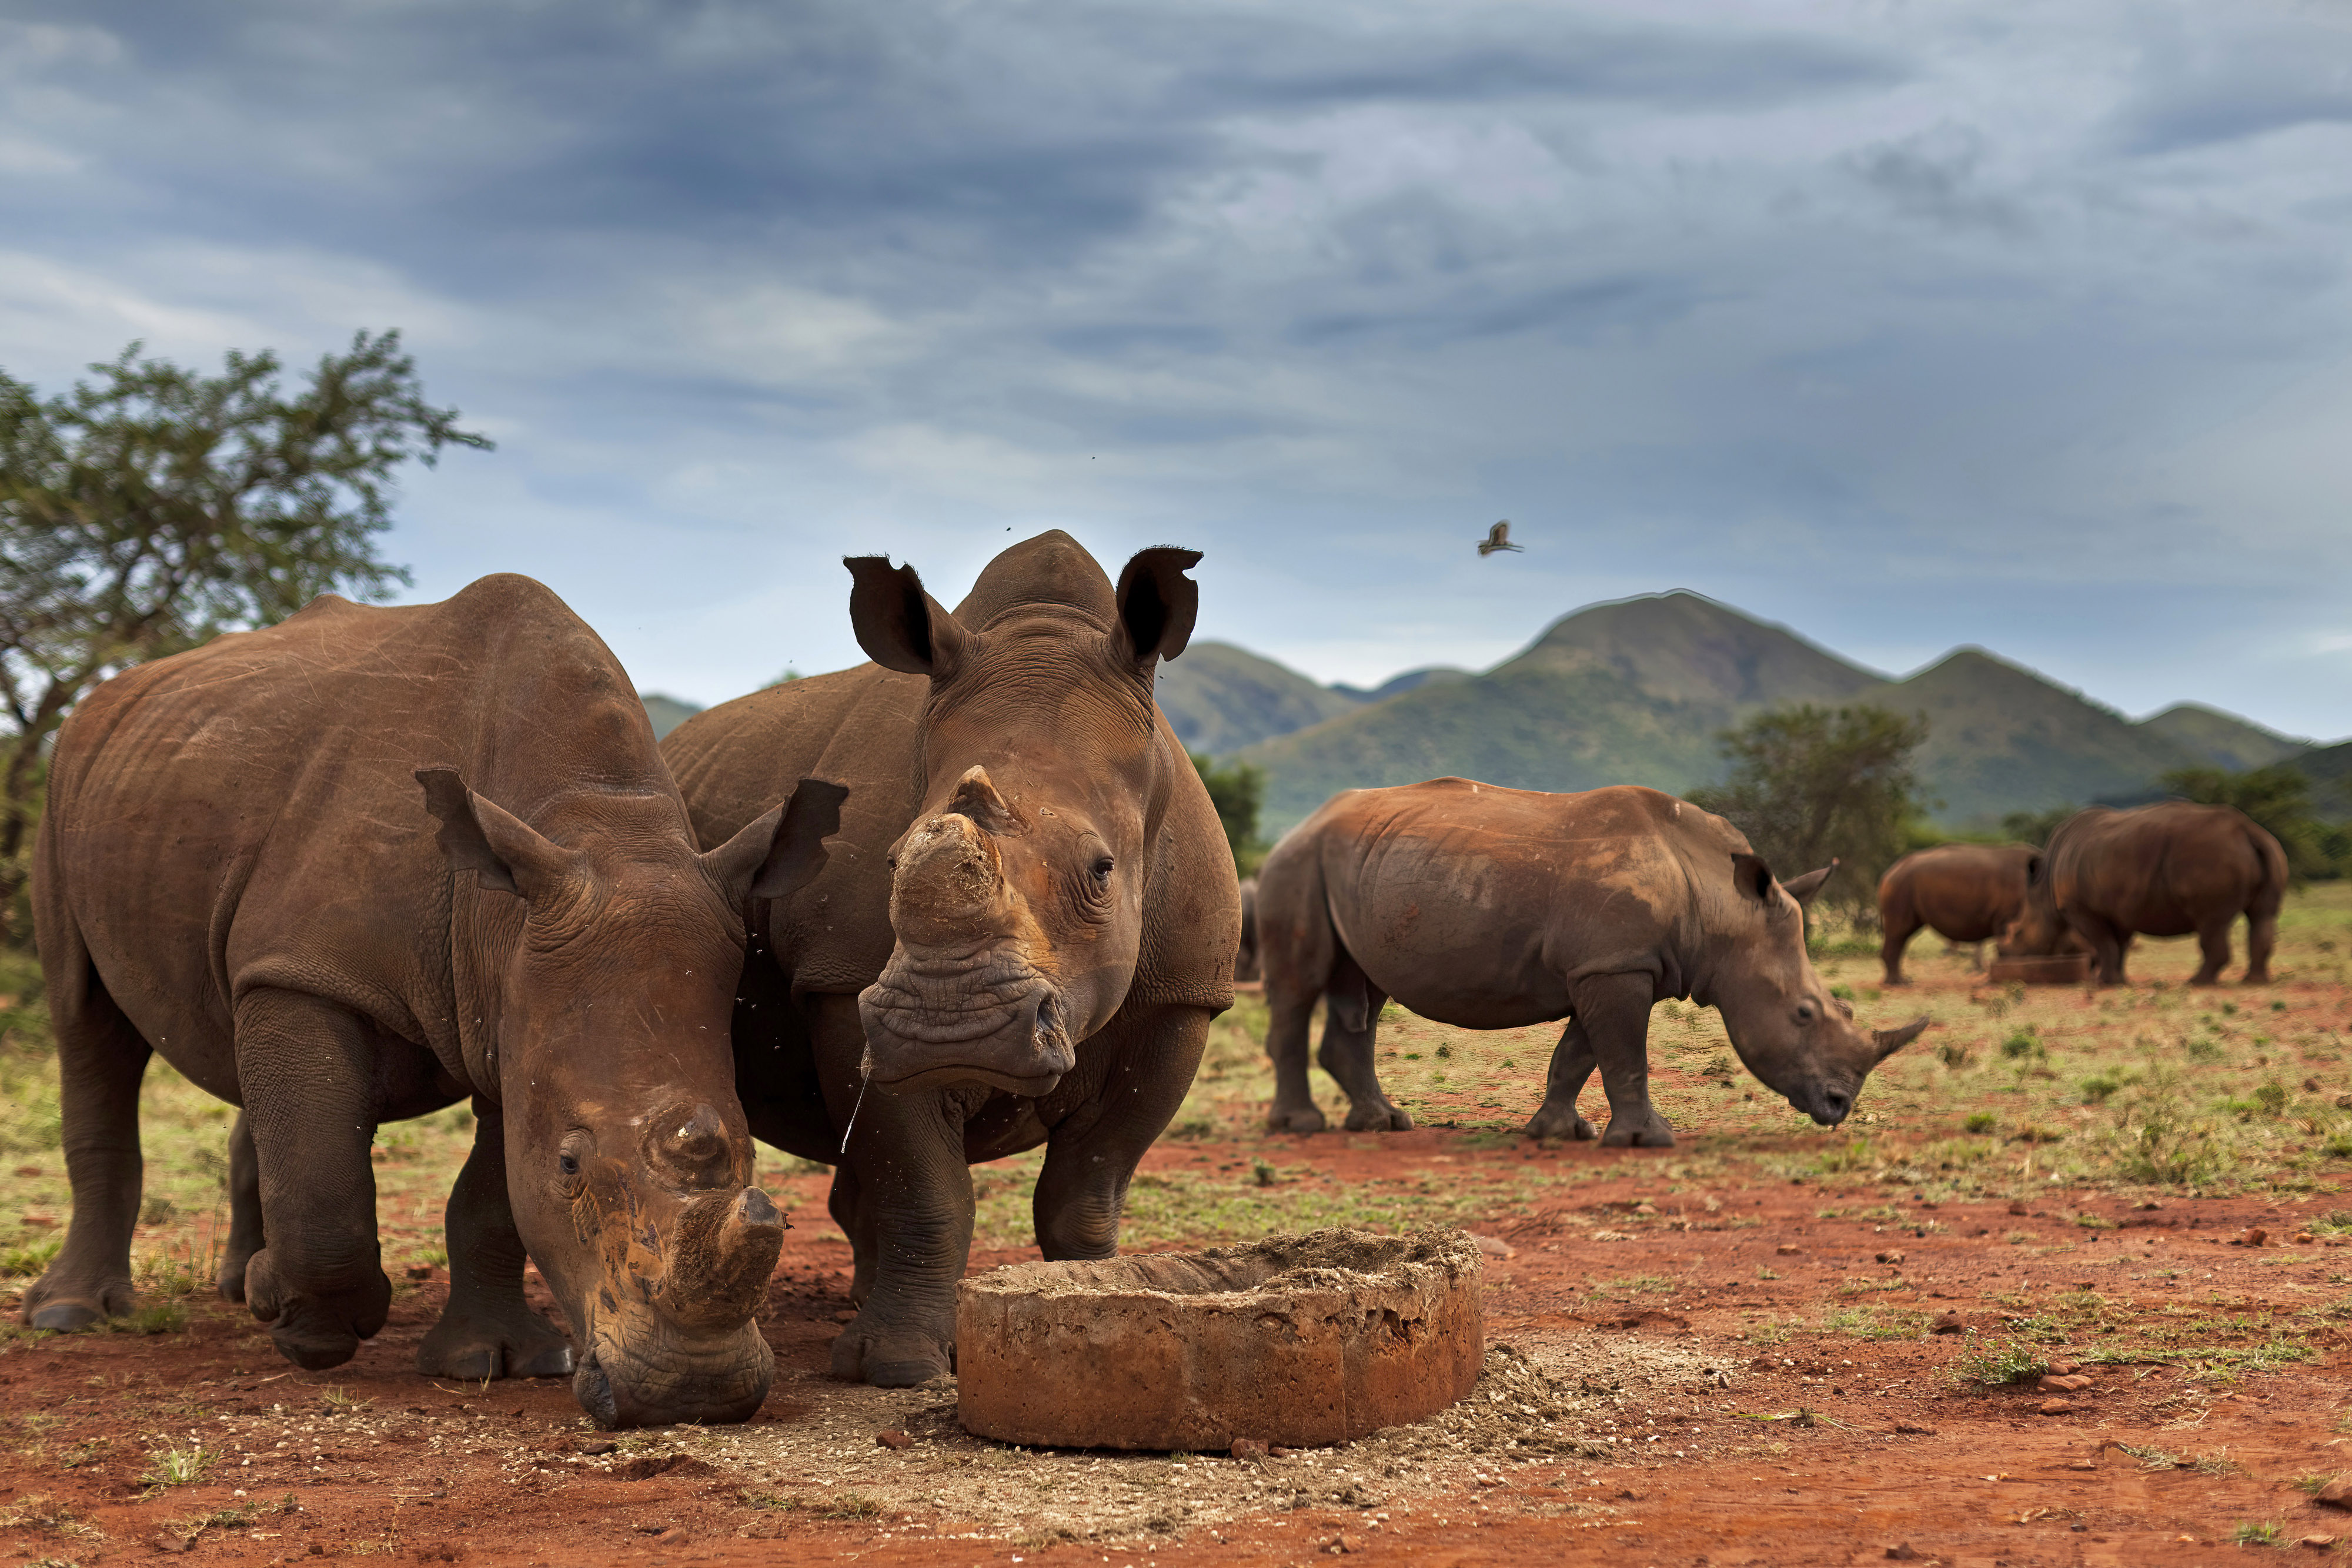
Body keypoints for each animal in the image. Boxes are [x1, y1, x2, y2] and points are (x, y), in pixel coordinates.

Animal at [24, 576, 843, 1428]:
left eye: (754, 1155)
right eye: (571, 1163)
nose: (692, 1395)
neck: (593, 817)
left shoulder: (512, 1003)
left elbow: (489, 1194)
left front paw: (495, 1359)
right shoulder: (313, 965)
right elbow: (326, 1186)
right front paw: (305, 1326)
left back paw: (232, 1283)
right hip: (67, 803)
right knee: (87, 1023)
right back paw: (76, 1314)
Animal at [662, 532, 1239, 1386]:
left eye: (1103, 870)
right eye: (893, 862)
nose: (951, 1028)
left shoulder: (1183, 996)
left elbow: (1087, 1190)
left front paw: (1090, 1304)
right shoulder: (845, 987)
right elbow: (924, 1189)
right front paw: (898, 1367)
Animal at [1255, 779, 1928, 1145]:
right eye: (1805, 1014)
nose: (1839, 1107)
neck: (1719, 902)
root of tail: (1304, 824)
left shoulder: (1608, 965)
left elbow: (1577, 1055)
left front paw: (1558, 1133)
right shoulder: (1616, 966)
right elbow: (1625, 1054)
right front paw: (1648, 1141)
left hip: (1362, 863)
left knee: (1365, 992)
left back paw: (1385, 1123)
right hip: (1297, 863)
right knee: (1300, 984)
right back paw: (1300, 1127)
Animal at [1876, 843, 2038, 984]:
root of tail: (1889, 872)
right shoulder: (2006, 917)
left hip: (1904, 885)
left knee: (1903, 935)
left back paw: (1901, 981)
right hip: (1901, 886)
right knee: (1899, 932)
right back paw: (1898, 983)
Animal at [1998, 802, 2287, 986]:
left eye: (2018, 932)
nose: (2004, 957)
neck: (2042, 889)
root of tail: (2248, 830)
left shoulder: (2079, 909)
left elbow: (2104, 943)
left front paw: (2102, 983)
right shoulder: (2120, 906)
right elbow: (2117, 946)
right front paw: (2117, 981)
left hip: (2210, 856)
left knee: (2211, 923)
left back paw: (2197, 983)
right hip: (2270, 850)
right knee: (2262, 914)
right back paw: (2255, 981)